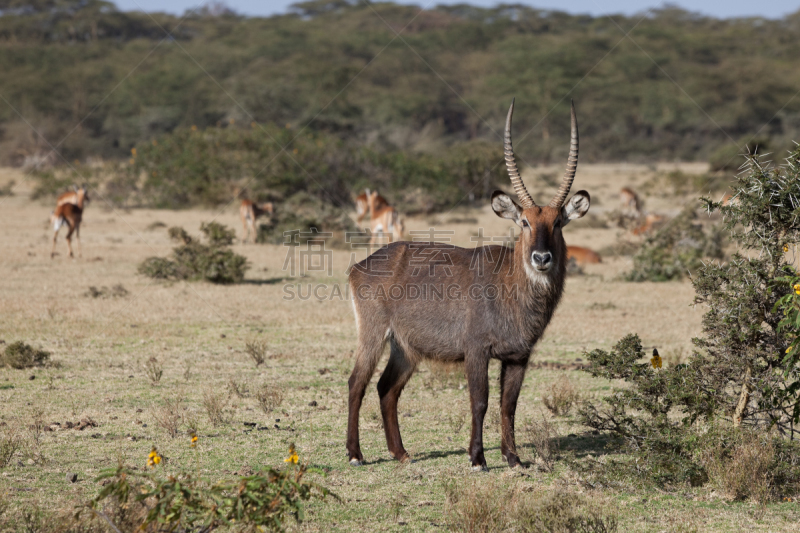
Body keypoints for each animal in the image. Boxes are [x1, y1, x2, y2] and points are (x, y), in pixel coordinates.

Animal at [346, 100, 592, 470]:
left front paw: (513, 458)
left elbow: (508, 406)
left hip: (405, 348)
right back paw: (355, 454)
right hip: (374, 334)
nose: (541, 257)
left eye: (559, 222)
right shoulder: (476, 350)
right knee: (356, 383)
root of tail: (360, 266)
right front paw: (477, 458)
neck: (511, 285)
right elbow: (480, 401)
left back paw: (401, 453)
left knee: (387, 388)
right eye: (524, 222)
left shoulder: (519, 357)